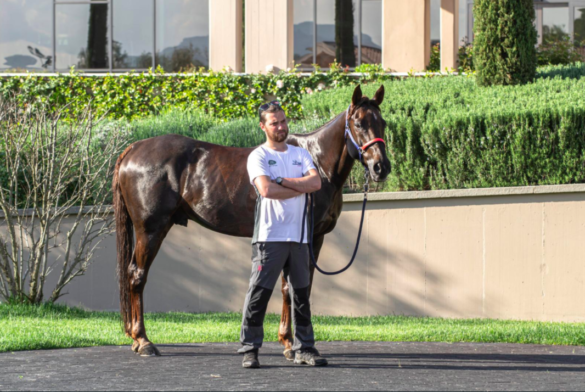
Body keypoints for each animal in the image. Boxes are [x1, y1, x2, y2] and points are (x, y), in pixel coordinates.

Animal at [112, 84, 390, 356]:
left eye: (383, 122)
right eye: (358, 123)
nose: (381, 167)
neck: (317, 162)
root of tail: (133, 149)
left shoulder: (315, 238)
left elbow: (301, 286)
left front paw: (293, 341)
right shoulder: (301, 238)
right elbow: (291, 287)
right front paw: (291, 344)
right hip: (150, 230)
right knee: (137, 275)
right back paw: (143, 341)